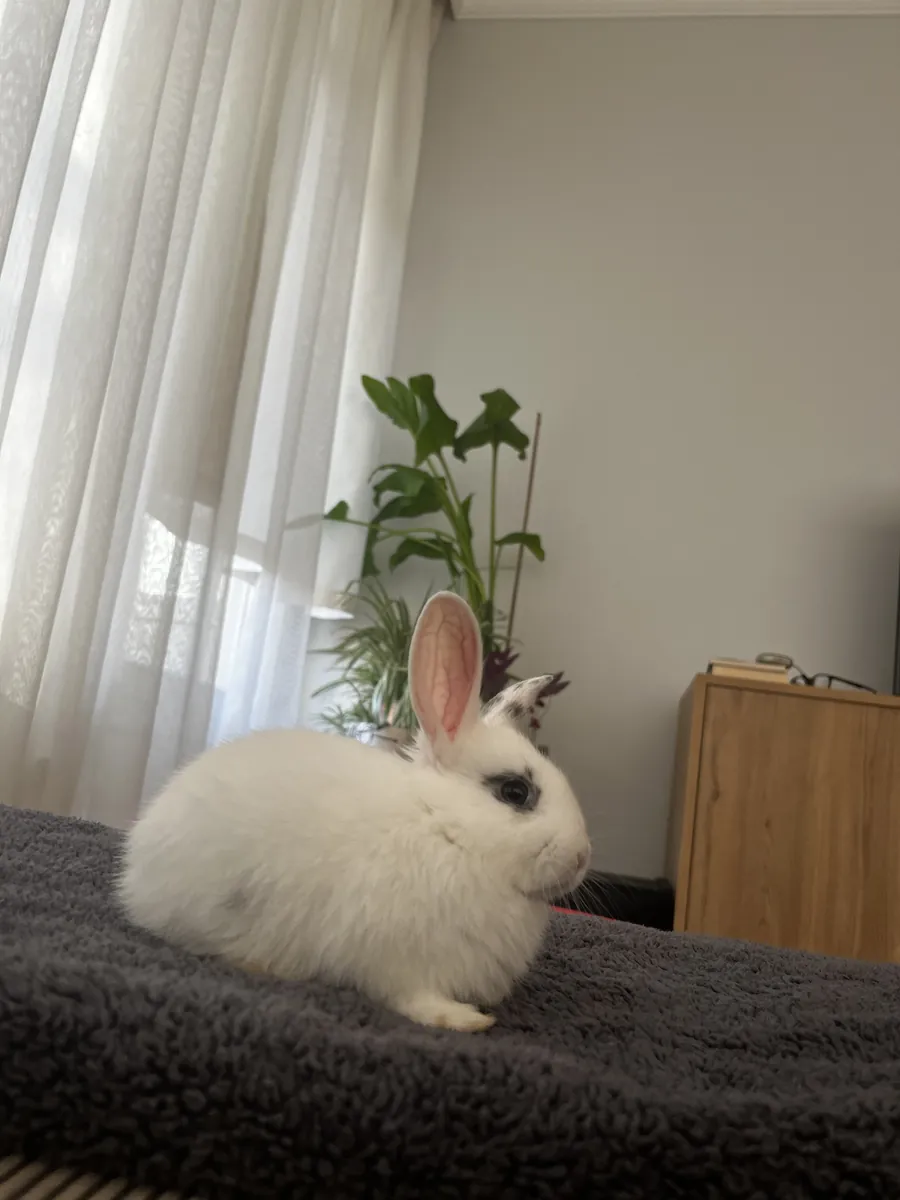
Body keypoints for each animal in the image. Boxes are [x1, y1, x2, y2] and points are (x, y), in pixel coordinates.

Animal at [118, 591, 591, 1033]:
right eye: (515, 791)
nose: (583, 856)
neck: (444, 827)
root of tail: (136, 866)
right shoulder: (400, 963)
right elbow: (414, 998)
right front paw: (466, 1020)